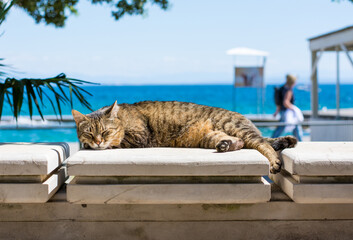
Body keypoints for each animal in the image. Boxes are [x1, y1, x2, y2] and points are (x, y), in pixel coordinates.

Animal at [72, 100, 296, 173]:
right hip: (211, 135)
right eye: (89, 132)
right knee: (240, 142)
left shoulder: (140, 136)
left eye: (105, 132)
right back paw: (226, 145)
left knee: (263, 143)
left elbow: (117, 143)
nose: (97, 141)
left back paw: (274, 162)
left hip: (234, 126)